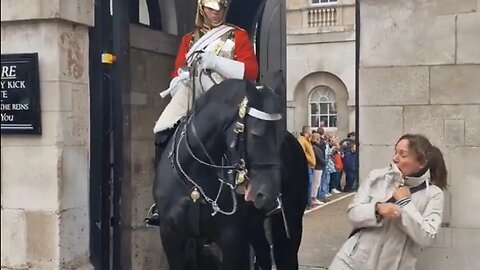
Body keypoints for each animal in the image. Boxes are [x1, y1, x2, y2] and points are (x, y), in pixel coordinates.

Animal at [155, 79, 288, 268]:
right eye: (256, 135)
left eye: (282, 138)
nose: (267, 196)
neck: (195, 181)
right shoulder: (171, 236)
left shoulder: (231, 239)